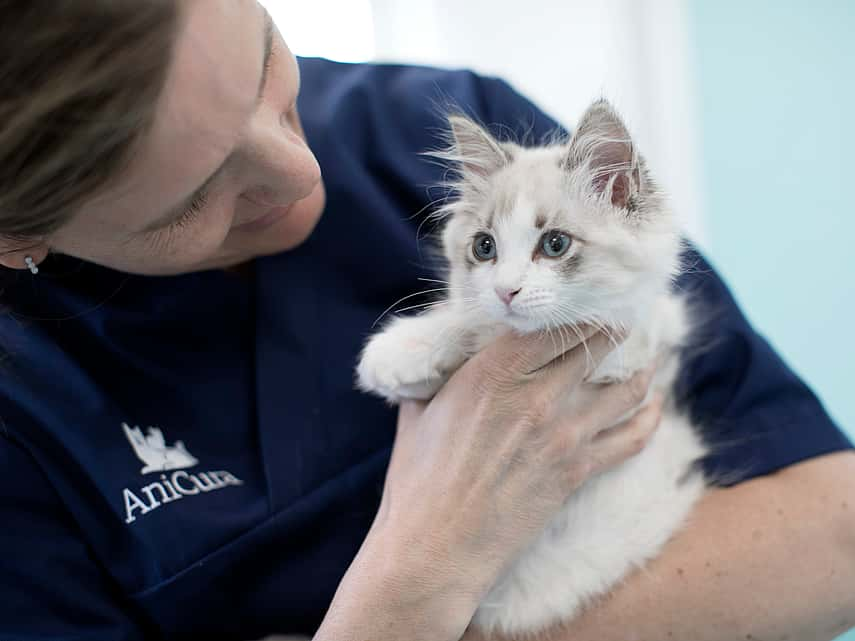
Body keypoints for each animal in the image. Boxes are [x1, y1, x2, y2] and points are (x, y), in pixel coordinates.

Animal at [354, 99, 708, 636]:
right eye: (484, 248)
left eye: (556, 244)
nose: (506, 290)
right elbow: (469, 322)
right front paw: (404, 351)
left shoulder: (651, 340)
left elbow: (622, 327)